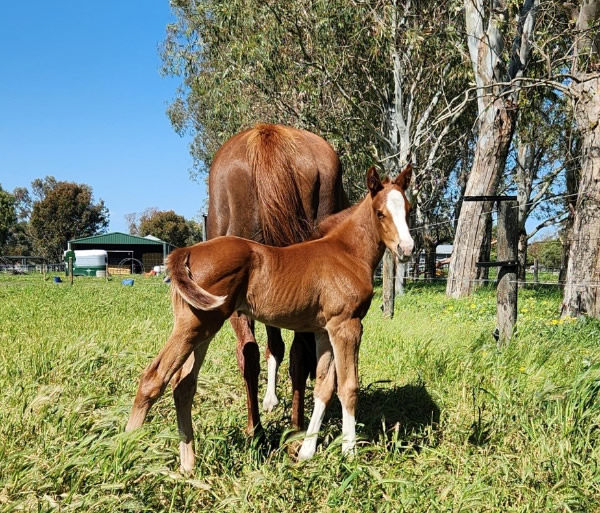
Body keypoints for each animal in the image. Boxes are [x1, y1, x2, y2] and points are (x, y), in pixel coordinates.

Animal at [126, 164, 412, 468]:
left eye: (408, 208)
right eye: (380, 213)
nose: (407, 249)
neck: (347, 252)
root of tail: (186, 251)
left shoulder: (325, 330)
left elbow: (324, 386)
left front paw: (307, 451)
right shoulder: (347, 326)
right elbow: (348, 386)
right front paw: (350, 454)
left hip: (202, 328)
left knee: (183, 385)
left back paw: (188, 464)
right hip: (193, 326)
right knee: (153, 378)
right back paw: (125, 449)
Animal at [206, 123, 346, 432]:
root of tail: (269, 133)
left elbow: (272, 347)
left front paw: (269, 400)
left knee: (252, 352)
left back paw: (259, 429)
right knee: (290, 352)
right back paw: (293, 427)